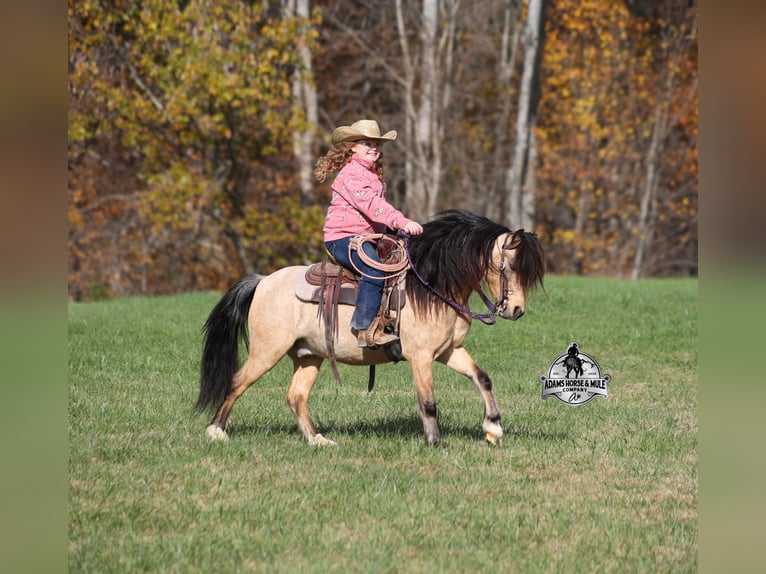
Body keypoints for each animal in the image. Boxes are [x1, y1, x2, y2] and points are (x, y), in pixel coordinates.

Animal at [195, 209, 545, 446]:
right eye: (511, 266)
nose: (516, 310)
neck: (431, 288)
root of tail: (263, 281)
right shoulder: (420, 356)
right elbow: (428, 401)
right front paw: (435, 441)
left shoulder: (448, 351)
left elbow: (482, 378)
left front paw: (494, 429)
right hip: (267, 351)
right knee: (237, 381)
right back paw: (216, 431)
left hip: (309, 356)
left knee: (296, 396)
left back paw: (318, 440)